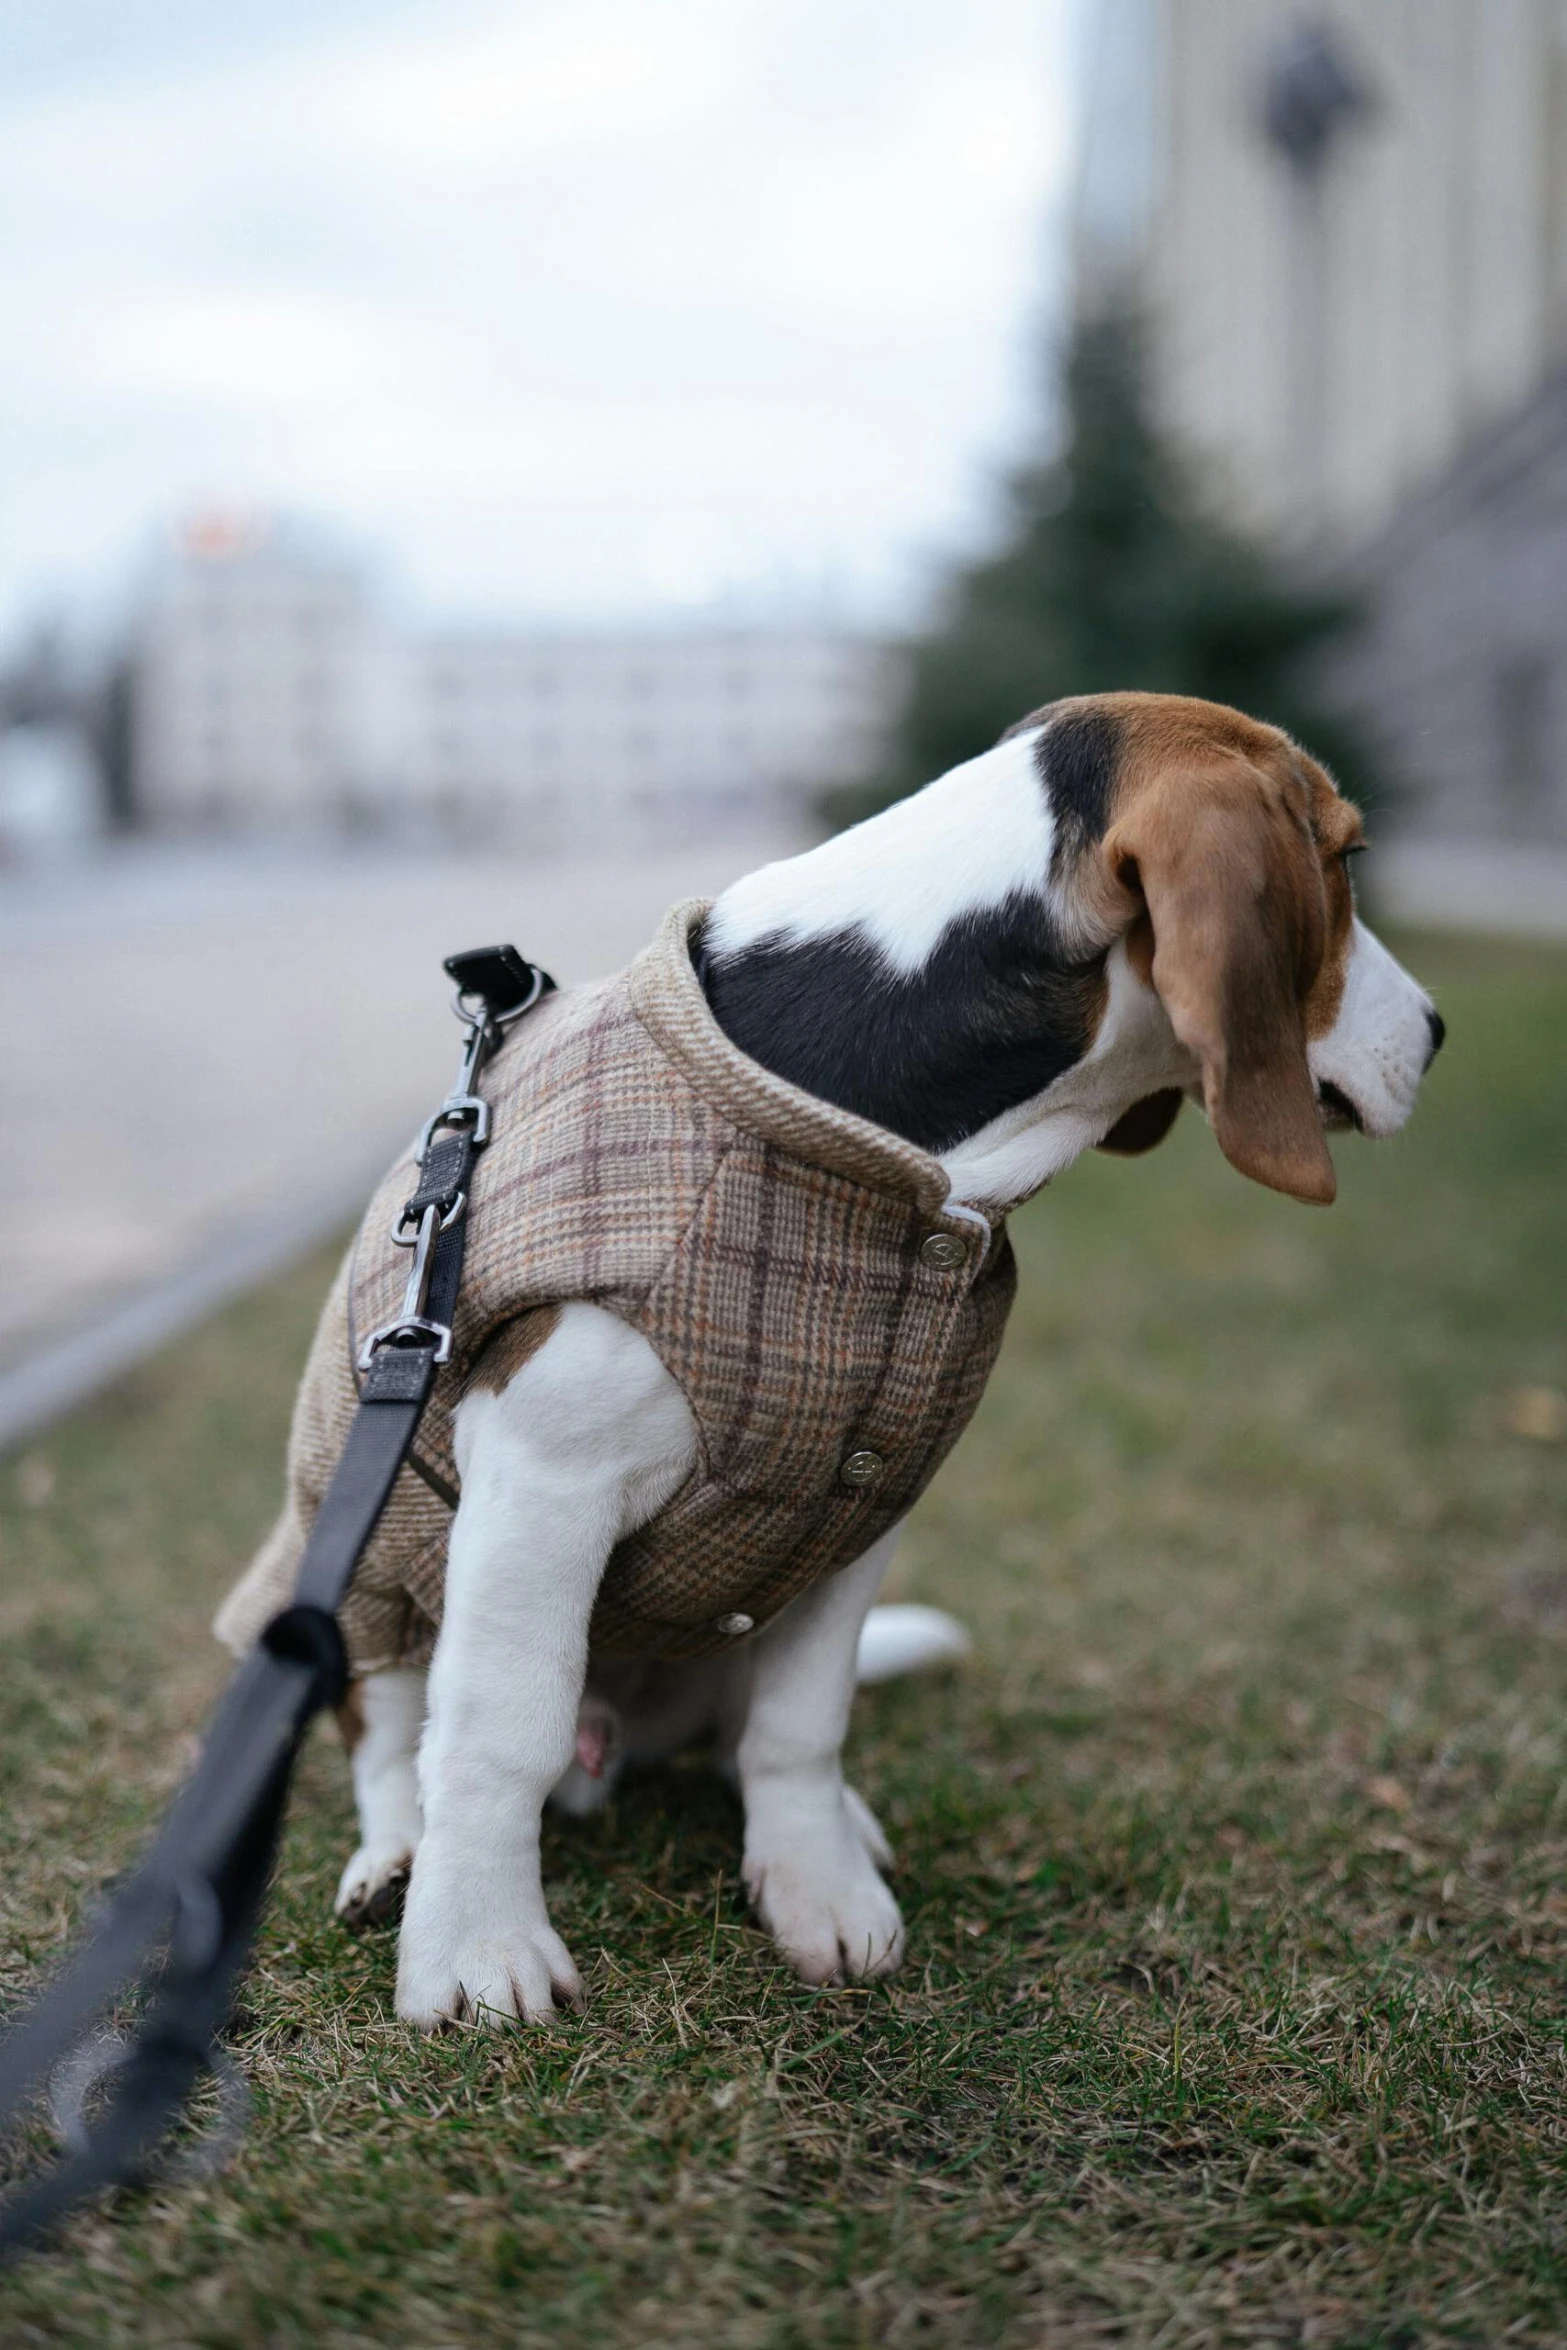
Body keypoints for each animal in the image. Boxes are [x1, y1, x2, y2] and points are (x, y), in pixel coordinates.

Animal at [331, 690, 1447, 2020]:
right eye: (1346, 860)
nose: (1439, 1032)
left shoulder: (857, 1496)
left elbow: (800, 1726)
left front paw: (815, 1884)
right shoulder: (544, 1483)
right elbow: (503, 1728)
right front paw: (478, 1943)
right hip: (367, 1578)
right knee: (395, 1733)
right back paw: (400, 1855)